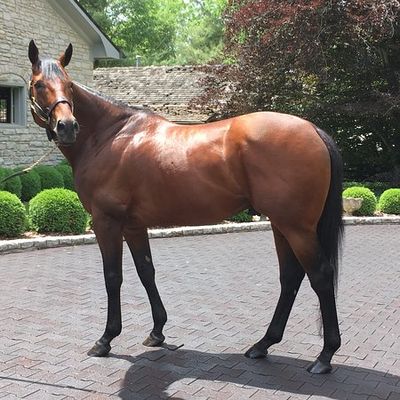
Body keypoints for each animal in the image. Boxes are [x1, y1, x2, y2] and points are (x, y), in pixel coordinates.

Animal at [27, 40, 343, 374]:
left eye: (69, 85)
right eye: (39, 84)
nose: (67, 127)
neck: (110, 136)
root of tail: (314, 130)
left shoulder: (106, 222)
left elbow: (113, 276)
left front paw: (106, 339)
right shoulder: (134, 225)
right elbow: (146, 271)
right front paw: (157, 332)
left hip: (297, 228)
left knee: (320, 276)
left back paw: (324, 356)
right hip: (281, 225)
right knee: (290, 278)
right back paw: (263, 345)